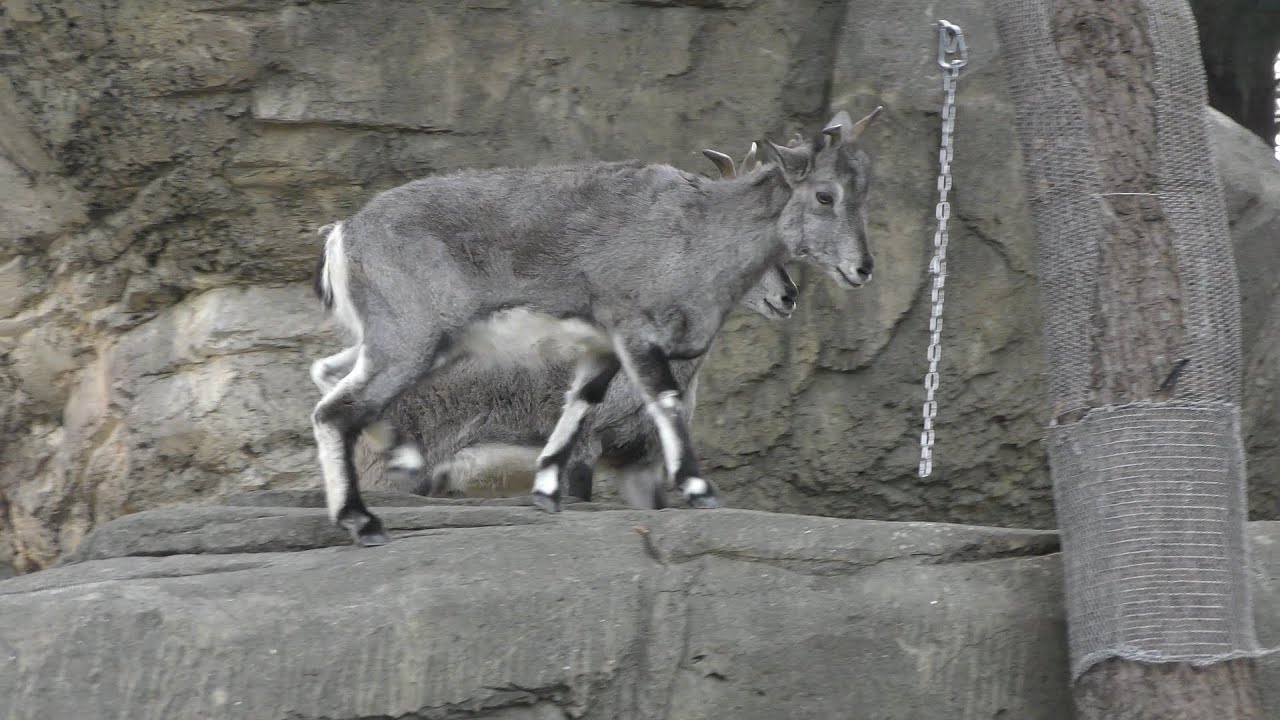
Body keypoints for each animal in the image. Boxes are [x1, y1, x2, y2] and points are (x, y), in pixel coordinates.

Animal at [311, 108, 881, 545]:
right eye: (825, 196)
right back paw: (363, 518)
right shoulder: (603, 423)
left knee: (329, 376)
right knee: (336, 413)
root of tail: (344, 233)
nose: (788, 296)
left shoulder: (634, 455)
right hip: (406, 348)